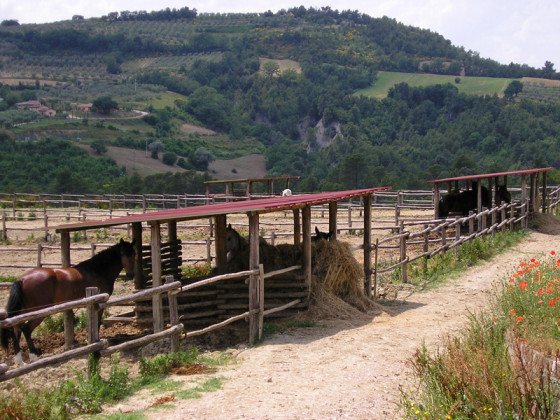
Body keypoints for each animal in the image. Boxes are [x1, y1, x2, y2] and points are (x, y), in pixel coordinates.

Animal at [0, 238, 136, 366]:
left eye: (134, 253)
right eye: (123, 253)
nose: (130, 275)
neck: (98, 270)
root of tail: (22, 279)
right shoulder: (98, 306)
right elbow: (97, 324)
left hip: (23, 312)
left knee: (16, 330)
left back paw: (20, 362)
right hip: (38, 312)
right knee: (26, 330)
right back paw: (34, 357)